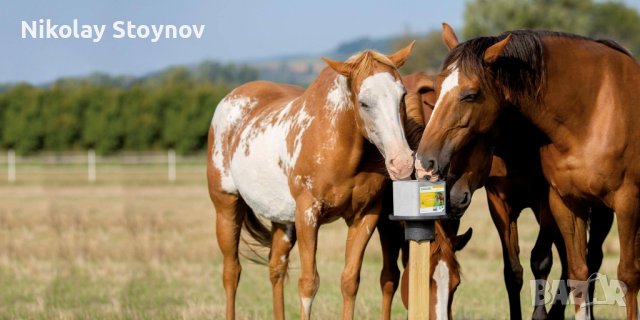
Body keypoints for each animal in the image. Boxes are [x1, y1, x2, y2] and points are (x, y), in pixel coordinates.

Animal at [209, 43, 420, 320]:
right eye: (364, 103)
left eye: (402, 95)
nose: (402, 162)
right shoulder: (308, 215)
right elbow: (308, 283)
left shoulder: (365, 215)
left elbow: (349, 281)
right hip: (226, 208)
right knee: (232, 273)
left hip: (282, 220)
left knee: (276, 269)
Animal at [416, 23, 640, 320]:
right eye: (437, 91)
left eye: (470, 94)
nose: (424, 163)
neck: (593, 112)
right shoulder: (535, 203)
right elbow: (529, 270)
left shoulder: (619, 202)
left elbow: (619, 273)